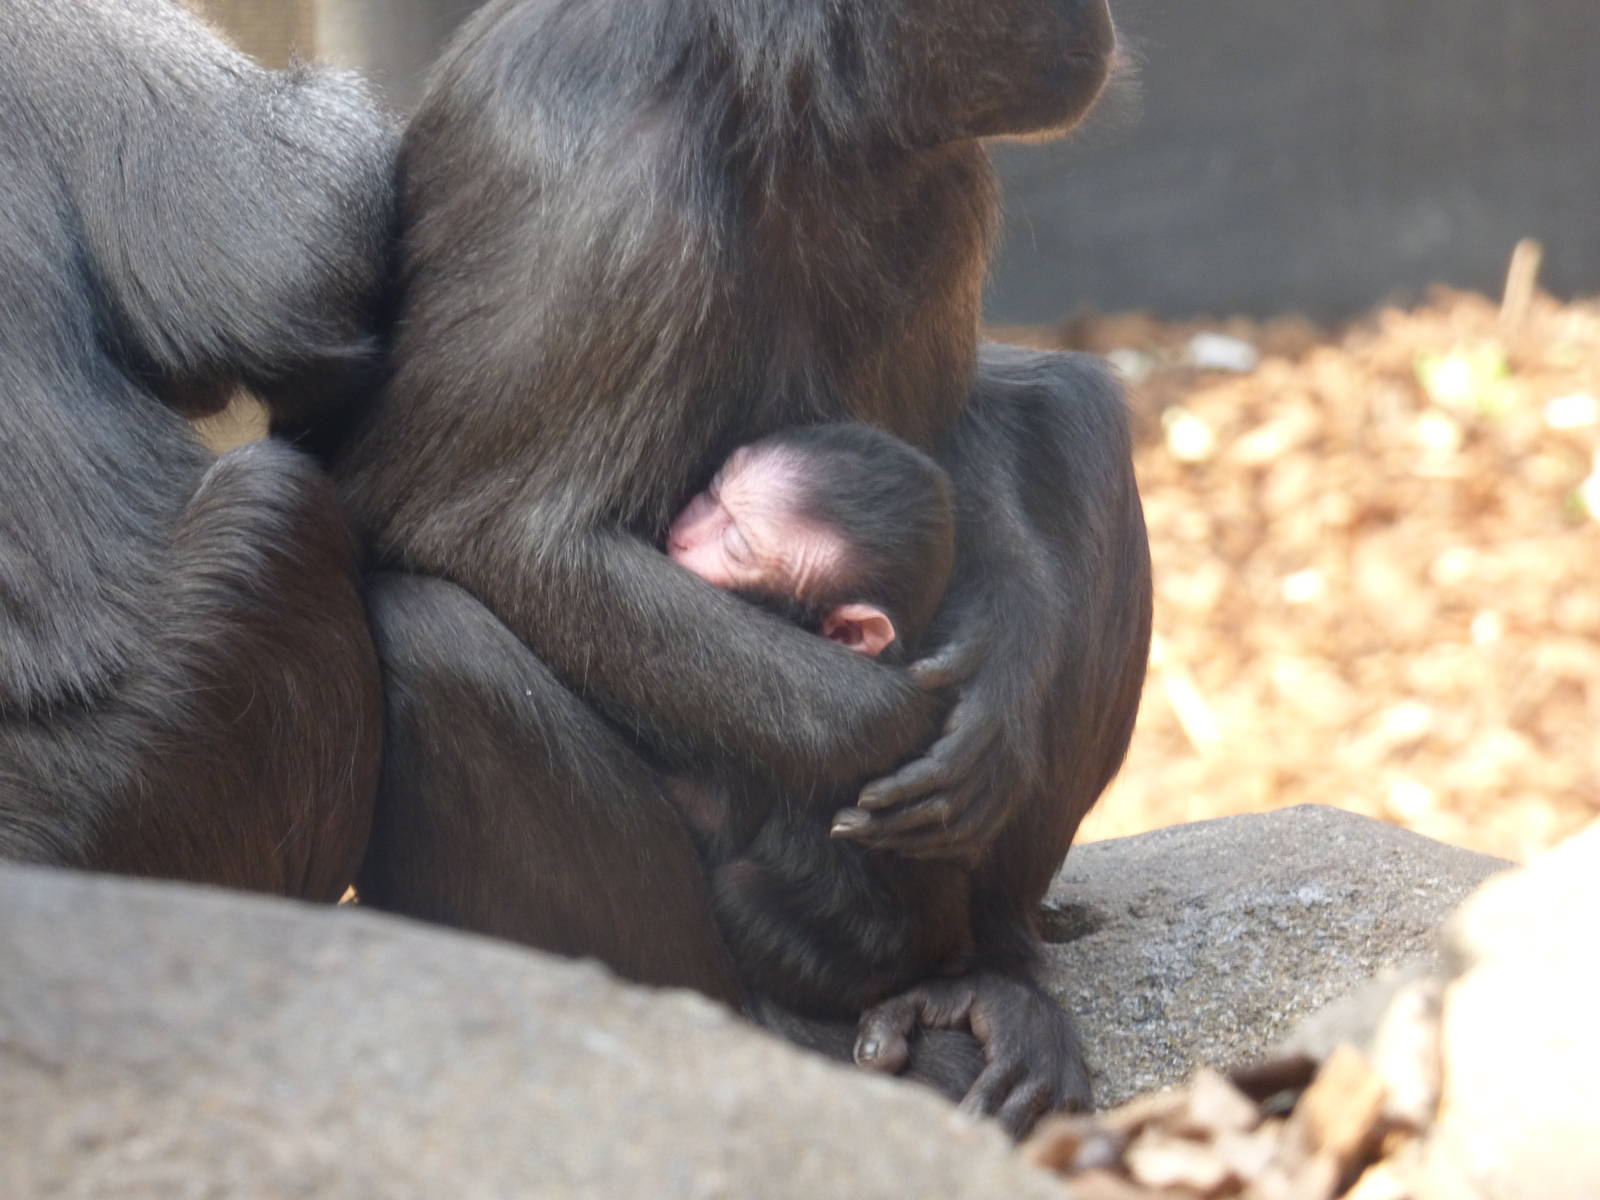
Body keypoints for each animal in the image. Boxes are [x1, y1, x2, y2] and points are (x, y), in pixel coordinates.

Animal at [338, 0, 1147, 1134]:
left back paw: (974, 981)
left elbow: (941, 441)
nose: (1102, 22)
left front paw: (1006, 668)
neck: (769, 94)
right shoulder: (618, 181)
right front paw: (908, 722)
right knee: (432, 634)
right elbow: (495, 534)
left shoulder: (939, 176)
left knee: (1077, 412)